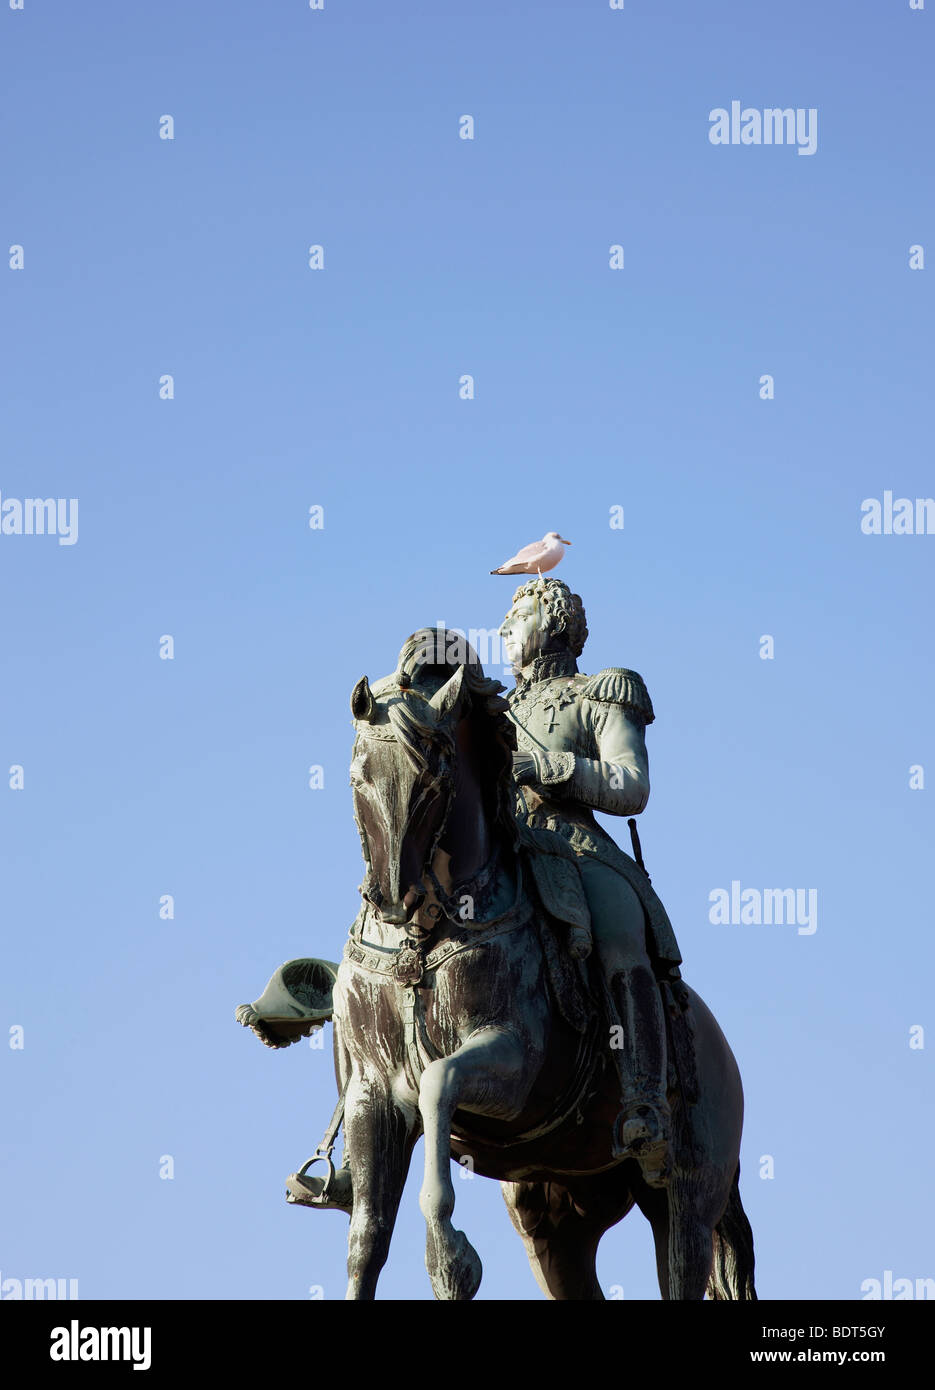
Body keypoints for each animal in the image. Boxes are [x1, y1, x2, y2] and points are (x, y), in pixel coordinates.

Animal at [325, 636, 755, 1295]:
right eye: (358, 772)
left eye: (434, 774)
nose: (392, 900)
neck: (426, 933)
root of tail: (722, 1055)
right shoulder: (372, 1097)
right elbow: (366, 1239)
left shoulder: (514, 1062)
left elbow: (437, 1083)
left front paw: (451, 1260)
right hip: (556, 1214)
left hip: (685, 1196)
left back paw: (644, 1124)